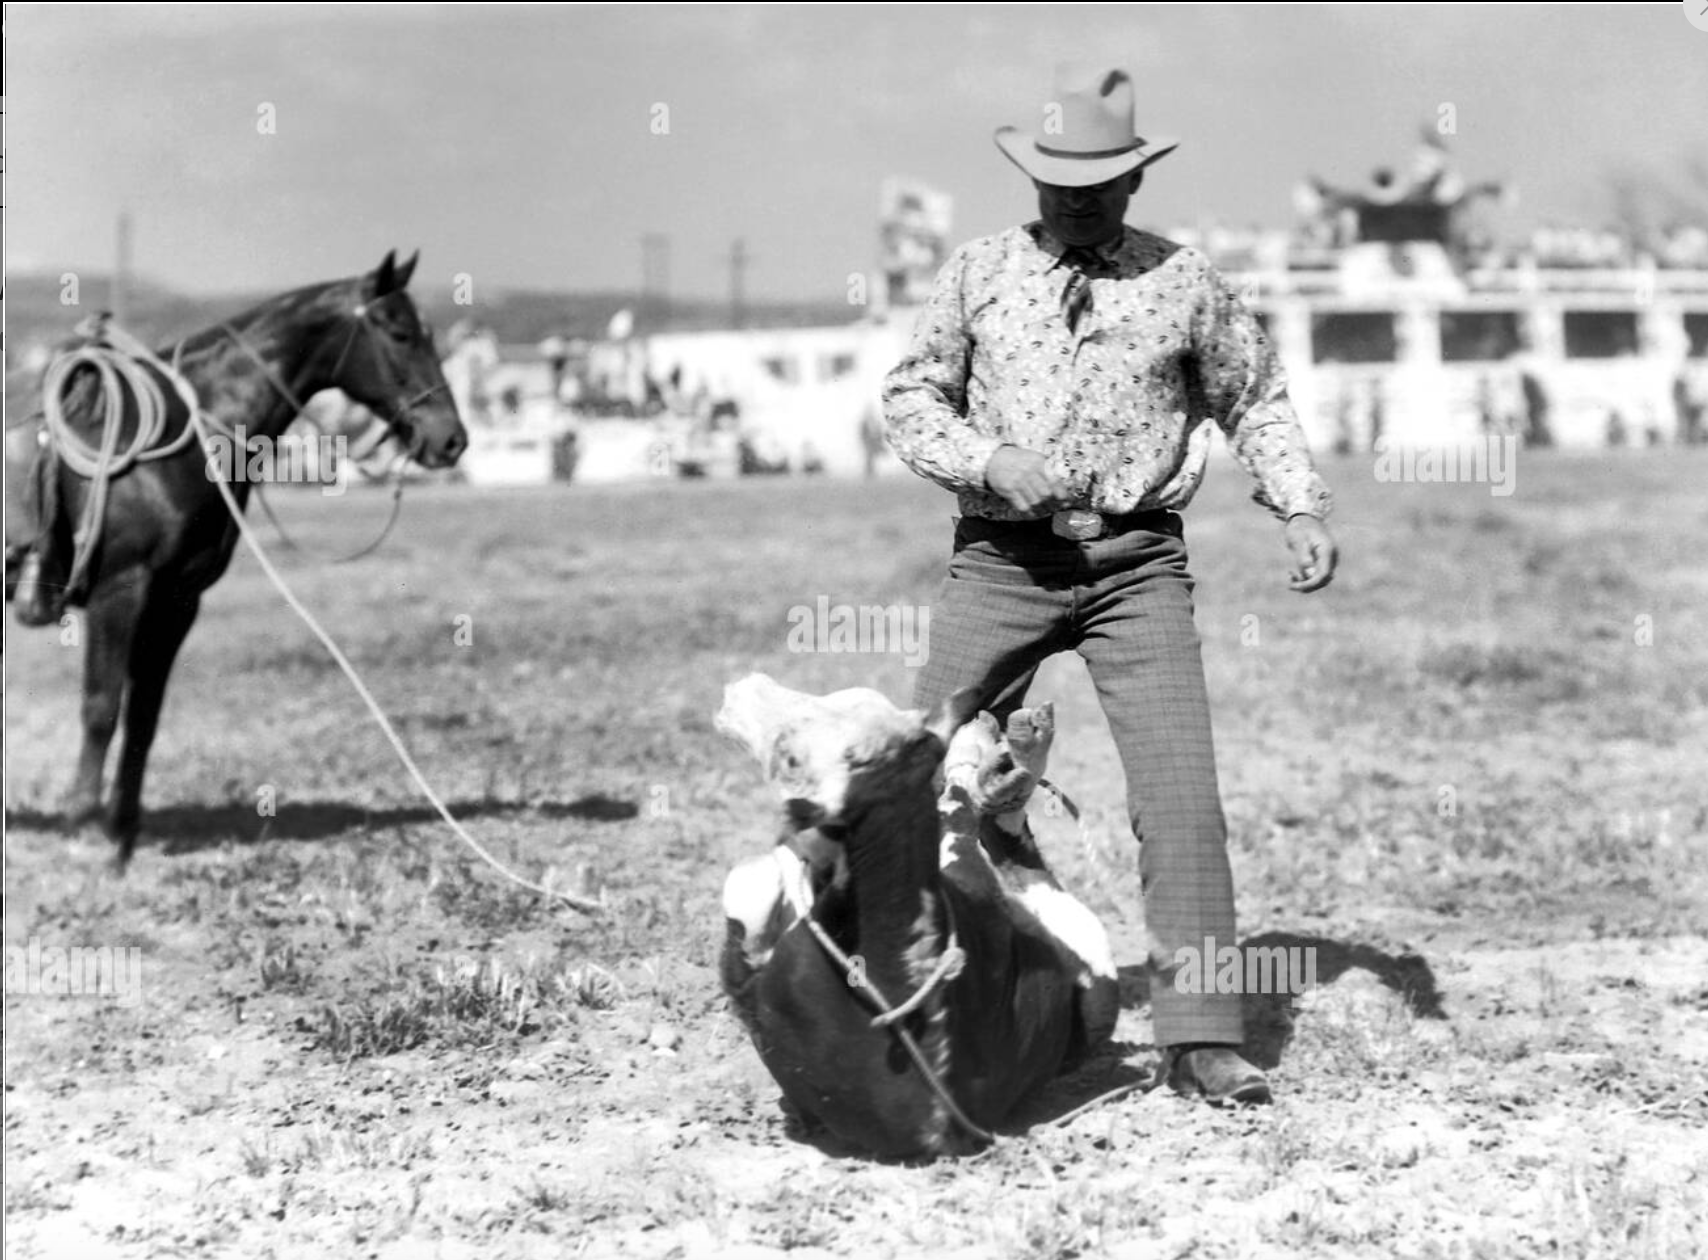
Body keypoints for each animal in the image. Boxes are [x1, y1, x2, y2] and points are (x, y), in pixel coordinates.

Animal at [5, 250, 467, 867]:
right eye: (399, 332)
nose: (451, 440)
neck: (179, 435)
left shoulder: (176, 600)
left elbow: (144, 716)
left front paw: (123, 828)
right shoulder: (118, 593)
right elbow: (102, 708)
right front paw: (84, 829)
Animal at [713, 672, 1113, 1154]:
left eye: (790, 757)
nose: (744, 685)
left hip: (1084, 943)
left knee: (997, 834)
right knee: (1010, 841)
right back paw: (1011, 760)